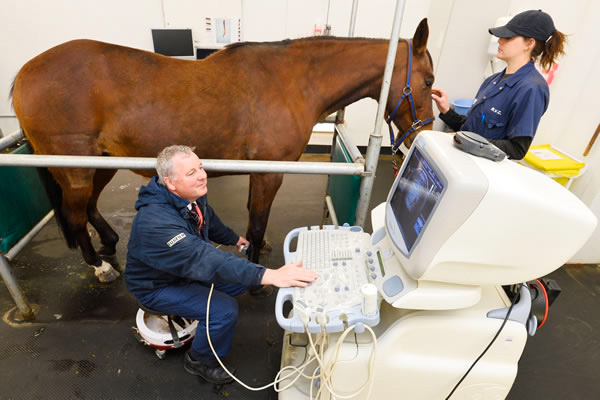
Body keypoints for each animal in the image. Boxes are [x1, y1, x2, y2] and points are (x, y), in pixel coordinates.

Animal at [11, 18, 434, 282]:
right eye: (429, 80)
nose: (423, 134)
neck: (293, 82)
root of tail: (26, 73)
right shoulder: (270, 172)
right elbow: (258, 220)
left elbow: (252, 218)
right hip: (75, 169)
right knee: (74, 213)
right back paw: (99, 265)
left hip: (99, 164)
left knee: (88, 208)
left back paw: (110, 244)